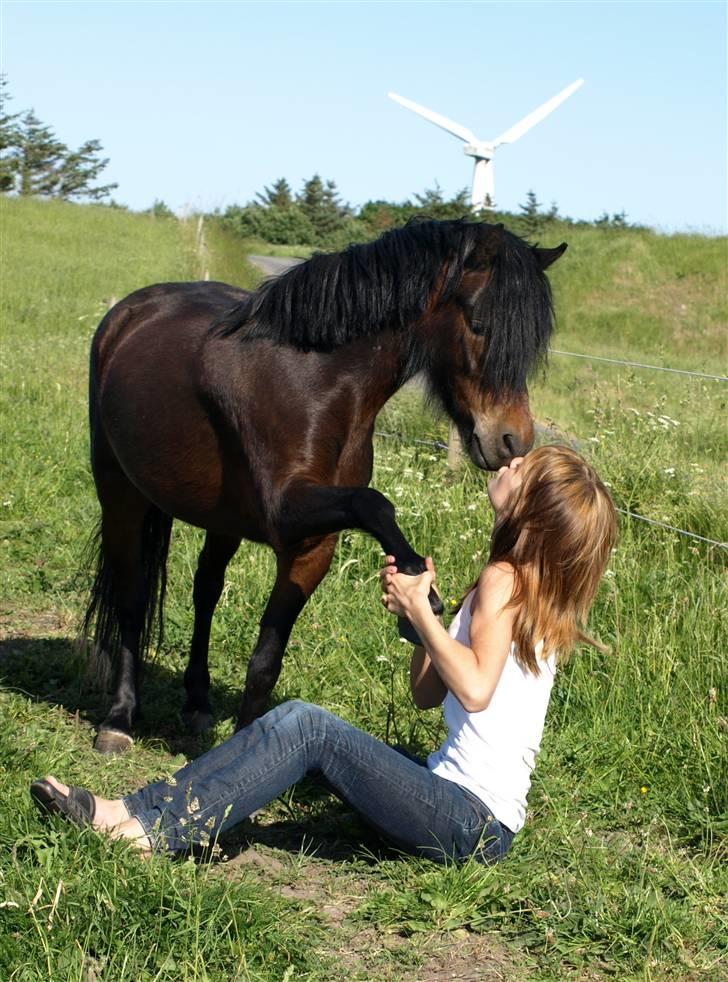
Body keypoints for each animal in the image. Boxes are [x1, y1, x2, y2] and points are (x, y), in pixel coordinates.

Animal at [82, 219, 564, 752]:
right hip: (120, 495)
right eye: (478, 323)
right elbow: (374, 503)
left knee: (205, 590)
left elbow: (265, 664)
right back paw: (120, 718)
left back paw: (197, 702)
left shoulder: (312, 546)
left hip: (222, 521)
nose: (513, 440)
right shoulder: (286, 512)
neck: (317, 379)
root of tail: (126, 315)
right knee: (131, 594)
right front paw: (420, 584)